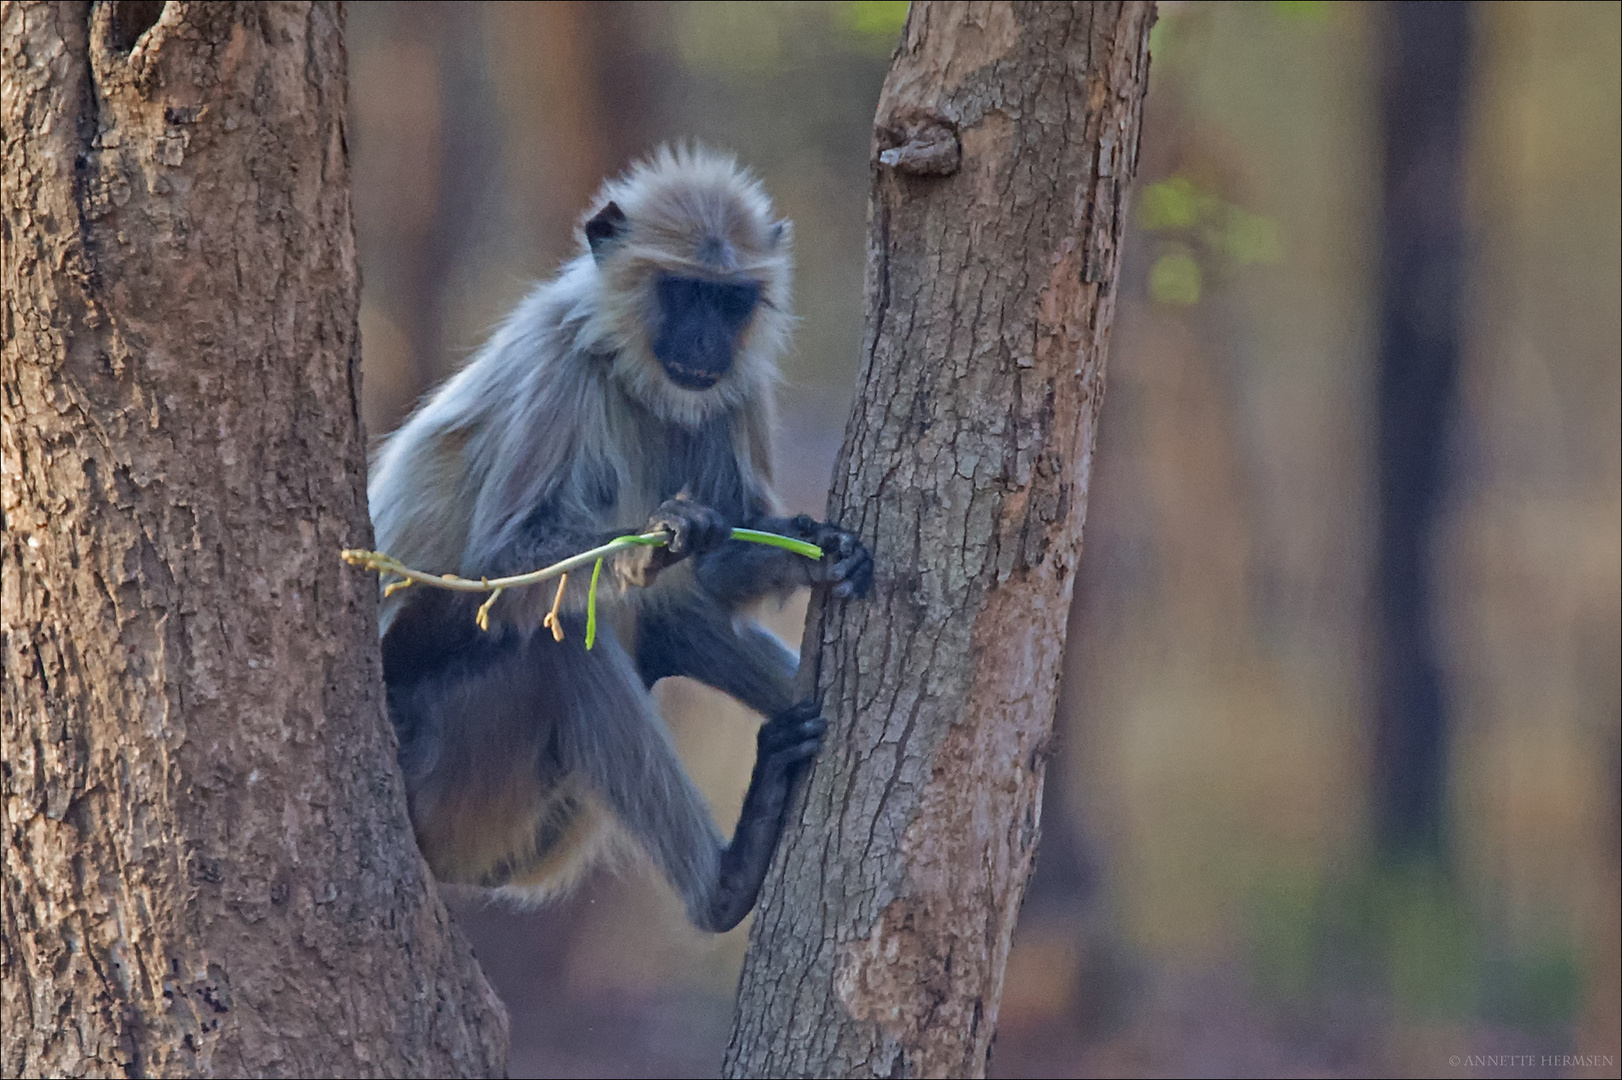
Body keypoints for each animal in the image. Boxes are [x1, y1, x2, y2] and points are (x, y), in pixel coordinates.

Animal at [368, 147, 875, 927]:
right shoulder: (556, 365)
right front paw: (660, 536)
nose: (705, 340)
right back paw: (725, 885)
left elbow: (718, 569)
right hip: (440, 777)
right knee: (561, 642)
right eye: (684, 292)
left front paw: (819, 551)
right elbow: (500, 564)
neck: (633, 374)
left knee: (669, 619)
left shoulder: (735, 387)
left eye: (729, 302)